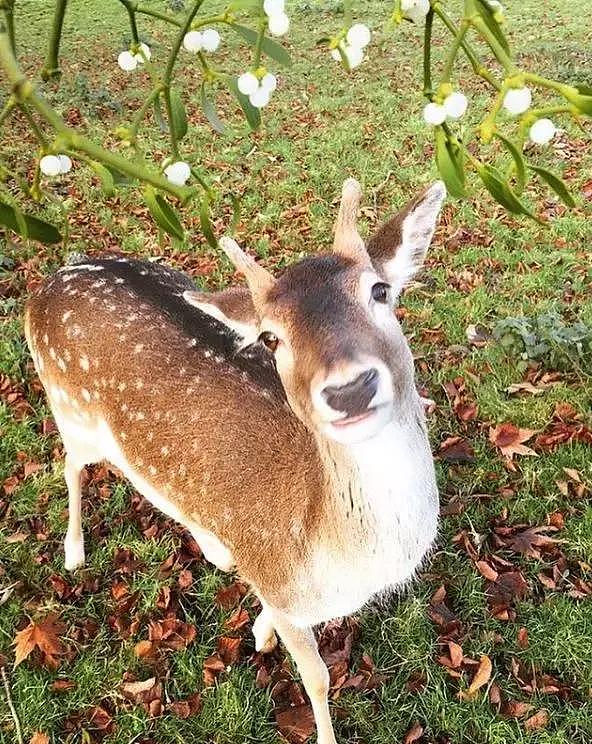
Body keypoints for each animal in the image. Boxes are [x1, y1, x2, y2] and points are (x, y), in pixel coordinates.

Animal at [25, 177, 446, 740]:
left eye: (380, 291)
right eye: (270, 336)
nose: (350, 389)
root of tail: (54, 275)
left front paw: (259, 629)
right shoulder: (286, 590)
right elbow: (316, 677)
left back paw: (215, 548)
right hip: (67, 404)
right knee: (70, 464)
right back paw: (74, 551)